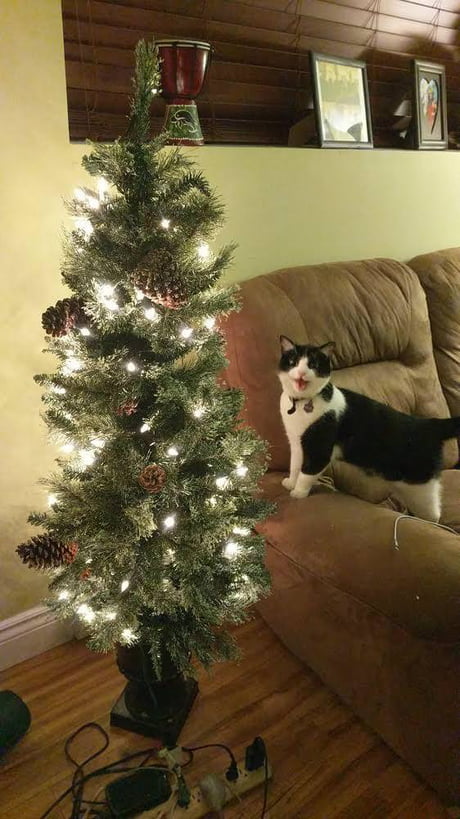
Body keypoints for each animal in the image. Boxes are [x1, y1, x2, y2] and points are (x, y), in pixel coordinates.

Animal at [276, 334, 460, 524]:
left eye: (313, 365)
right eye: (293, 362)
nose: (301, 373)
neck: (301, 404)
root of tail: (430, 424)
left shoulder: (320, 449)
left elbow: (307, 472)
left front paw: (298, 492)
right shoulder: (297, 443)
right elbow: (295, 465)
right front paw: (291, 482)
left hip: (420, 486)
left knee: (433, 514)